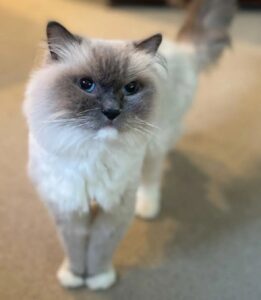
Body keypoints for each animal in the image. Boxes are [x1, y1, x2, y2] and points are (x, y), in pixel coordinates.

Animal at [23, 0, 236, 290]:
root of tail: (183, 50)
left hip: (154, 142)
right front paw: (75, 276)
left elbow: (99, 247)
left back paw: (147, 209)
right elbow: (75, 247)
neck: (92, 152)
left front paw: (99, 279)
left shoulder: (116, 207)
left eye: (131, 88)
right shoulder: (68, 205)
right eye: (86, 85)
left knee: (153, 175)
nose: (112, 111)